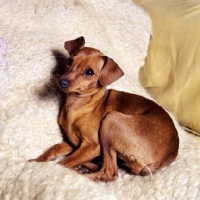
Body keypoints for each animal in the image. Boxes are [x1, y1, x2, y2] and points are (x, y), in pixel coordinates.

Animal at [28, 36, 180, 181]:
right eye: (70, 61)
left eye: (90, 72)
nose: (62, 82)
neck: (78, 105)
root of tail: (165, 160)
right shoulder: (75, 143)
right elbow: (56, 147)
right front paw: (37, 160)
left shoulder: (92, 146)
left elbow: (63, 163)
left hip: (111, 119)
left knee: (109, 173)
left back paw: (83, 172)